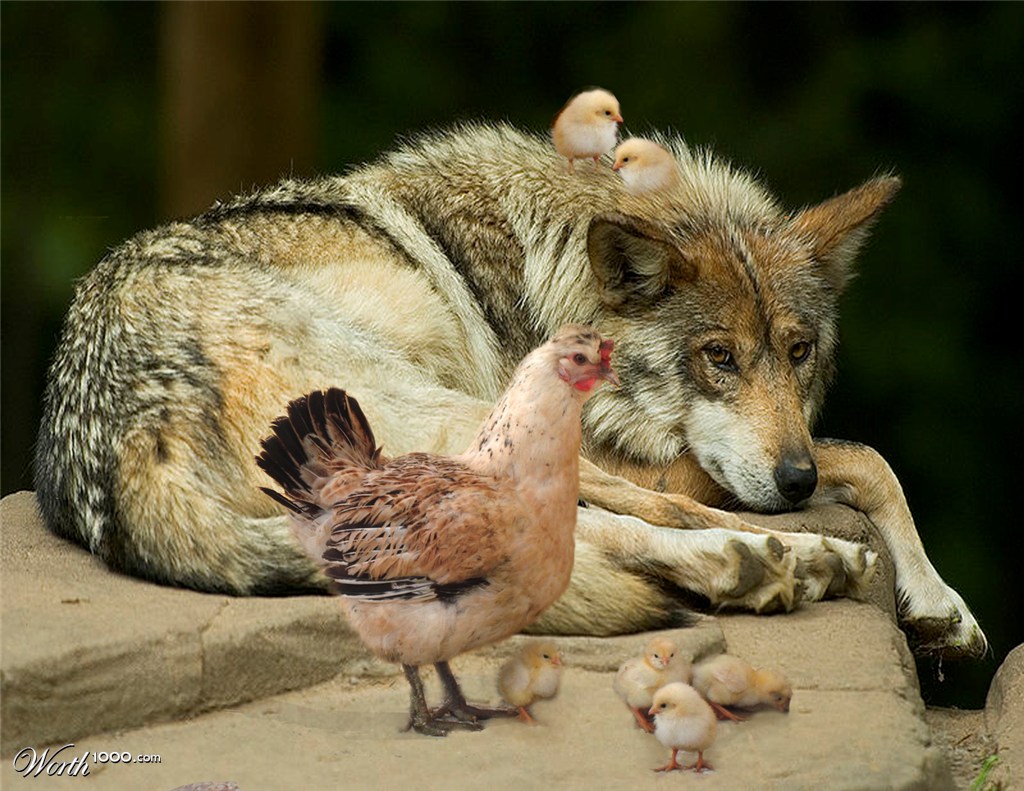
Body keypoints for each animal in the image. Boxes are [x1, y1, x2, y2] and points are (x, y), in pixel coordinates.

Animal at [34, 122, 985, 659]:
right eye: (718, 356)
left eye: (797, 351)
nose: (791, 481)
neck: (548, 276)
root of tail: (125, 428)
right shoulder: (639, 458)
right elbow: (864, 454)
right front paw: (937, 598)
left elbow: (867, 458)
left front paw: (939, 605)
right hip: (459, 421)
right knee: (638, 525)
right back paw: (792, 558)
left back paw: (759, 566)